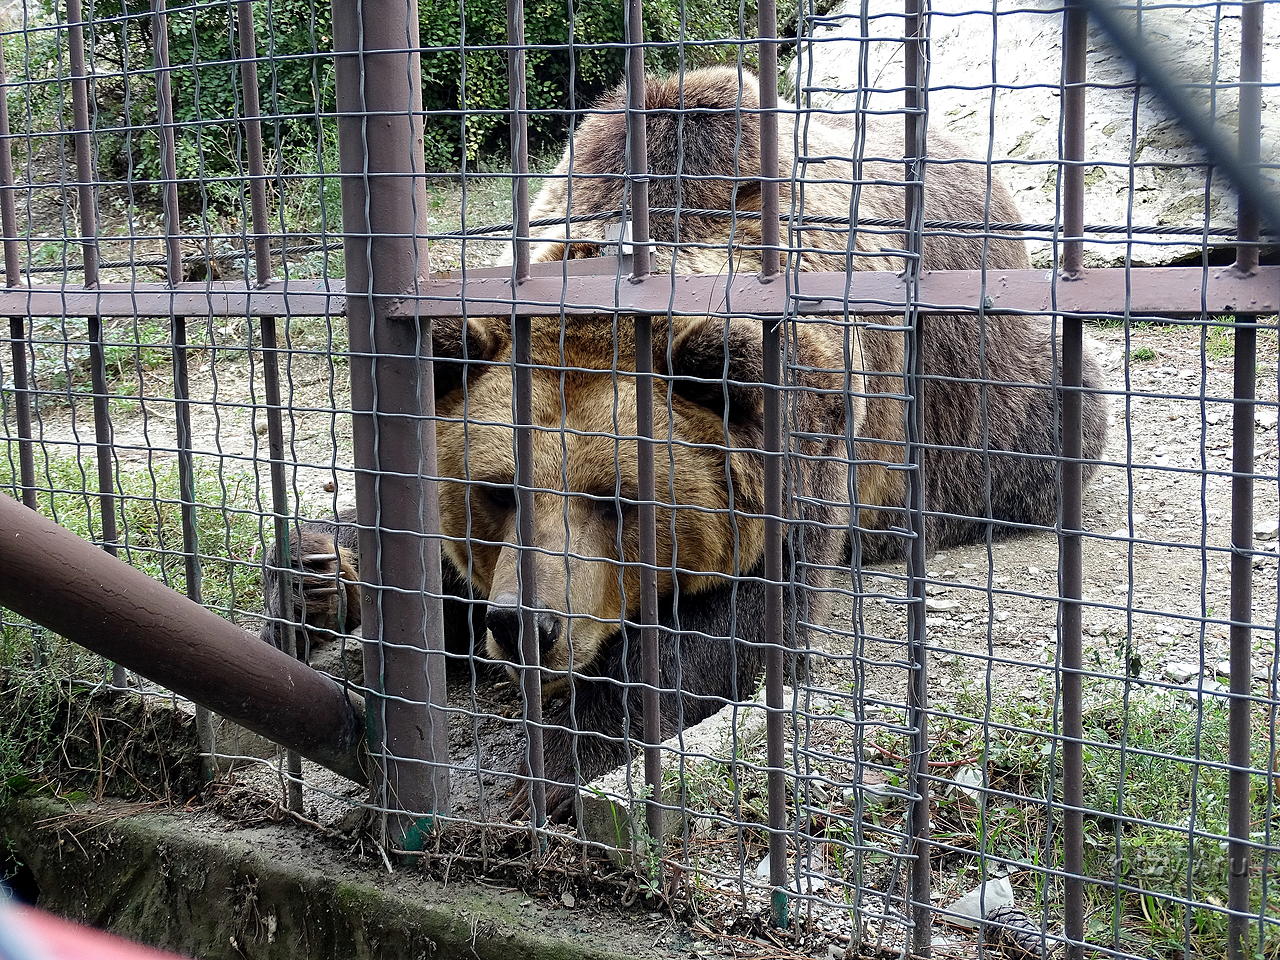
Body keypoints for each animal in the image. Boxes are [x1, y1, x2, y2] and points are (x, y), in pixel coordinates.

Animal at [257, 65, 1100, 819]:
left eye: (618, 500)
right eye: (497, 491)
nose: (526, 626)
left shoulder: (798, 440)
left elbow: (730, 635)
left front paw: (534, 772)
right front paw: (315, 578)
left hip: (980, 389)